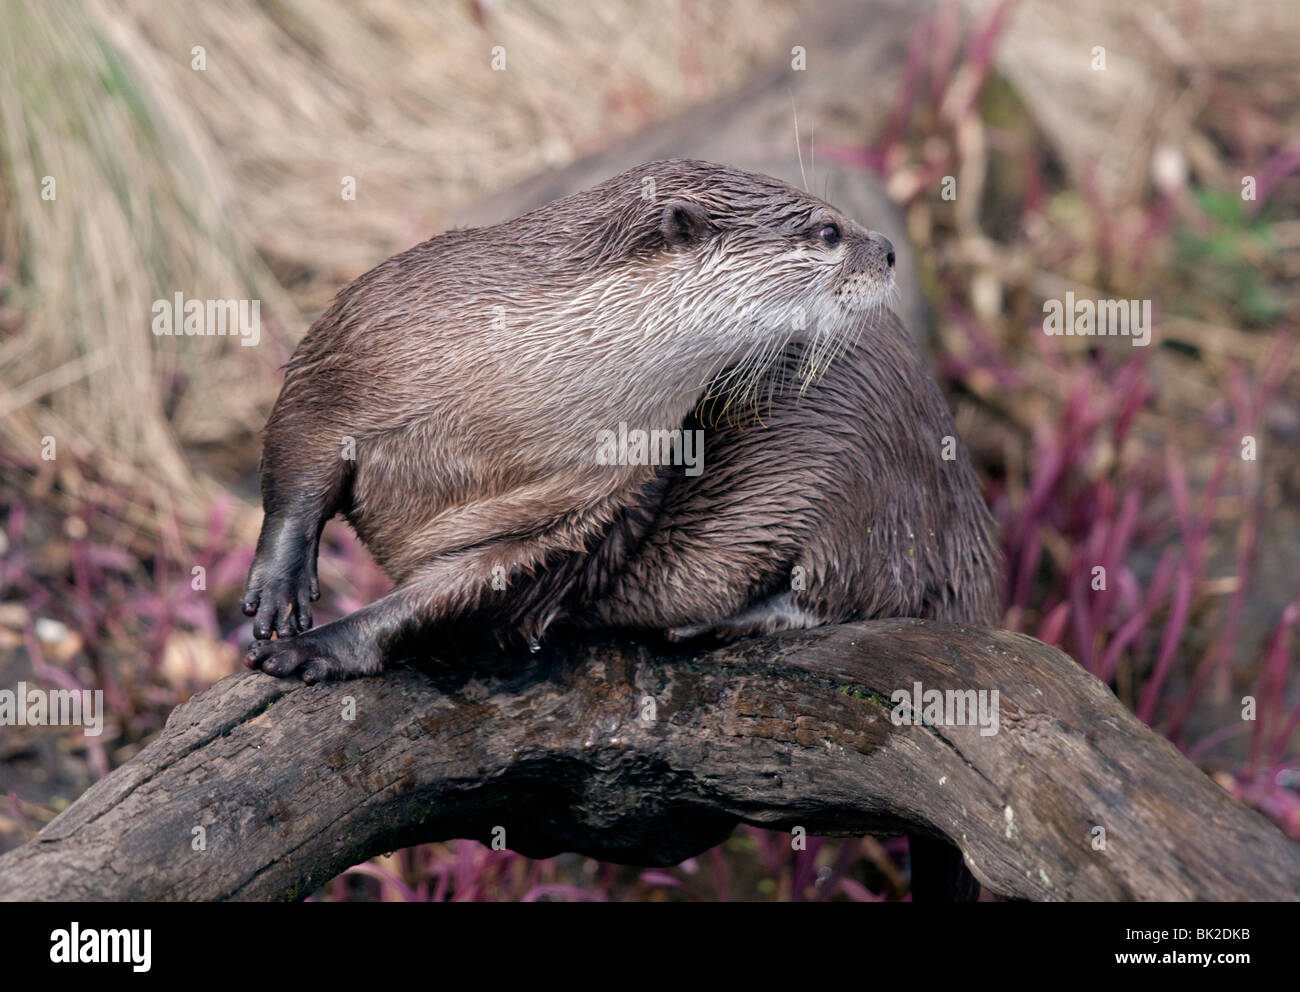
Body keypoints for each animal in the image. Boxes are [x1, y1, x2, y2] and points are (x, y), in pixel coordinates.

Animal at [242, 159, 999, 685]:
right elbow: (298, 449)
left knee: (860, 587)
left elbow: (479, 593)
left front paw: (325, 646)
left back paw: (714, 625)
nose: (890, 250)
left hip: (870, 482)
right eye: (829, 230)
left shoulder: (591, 506)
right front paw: (278, 589)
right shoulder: (359, 344)